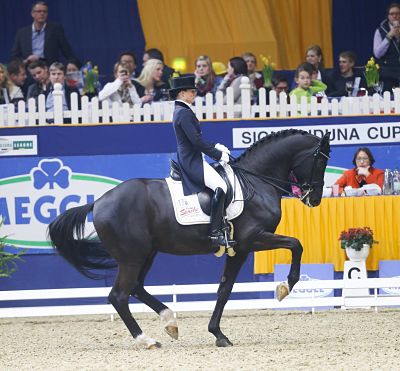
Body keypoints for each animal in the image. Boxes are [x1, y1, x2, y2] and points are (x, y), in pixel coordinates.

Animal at [47, 129, 328, 350]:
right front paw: (284, 287)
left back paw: (170, 322)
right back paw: (147, 340)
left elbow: (224, 289)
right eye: (320, 161)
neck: (256, 180)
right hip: (132, 257)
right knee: (118, 296)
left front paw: (218, 334)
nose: (315, 199)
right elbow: (296, 245)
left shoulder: (238, 249)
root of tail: (98, 202)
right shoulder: (253, 239)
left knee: (136, 288)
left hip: (146, 253)